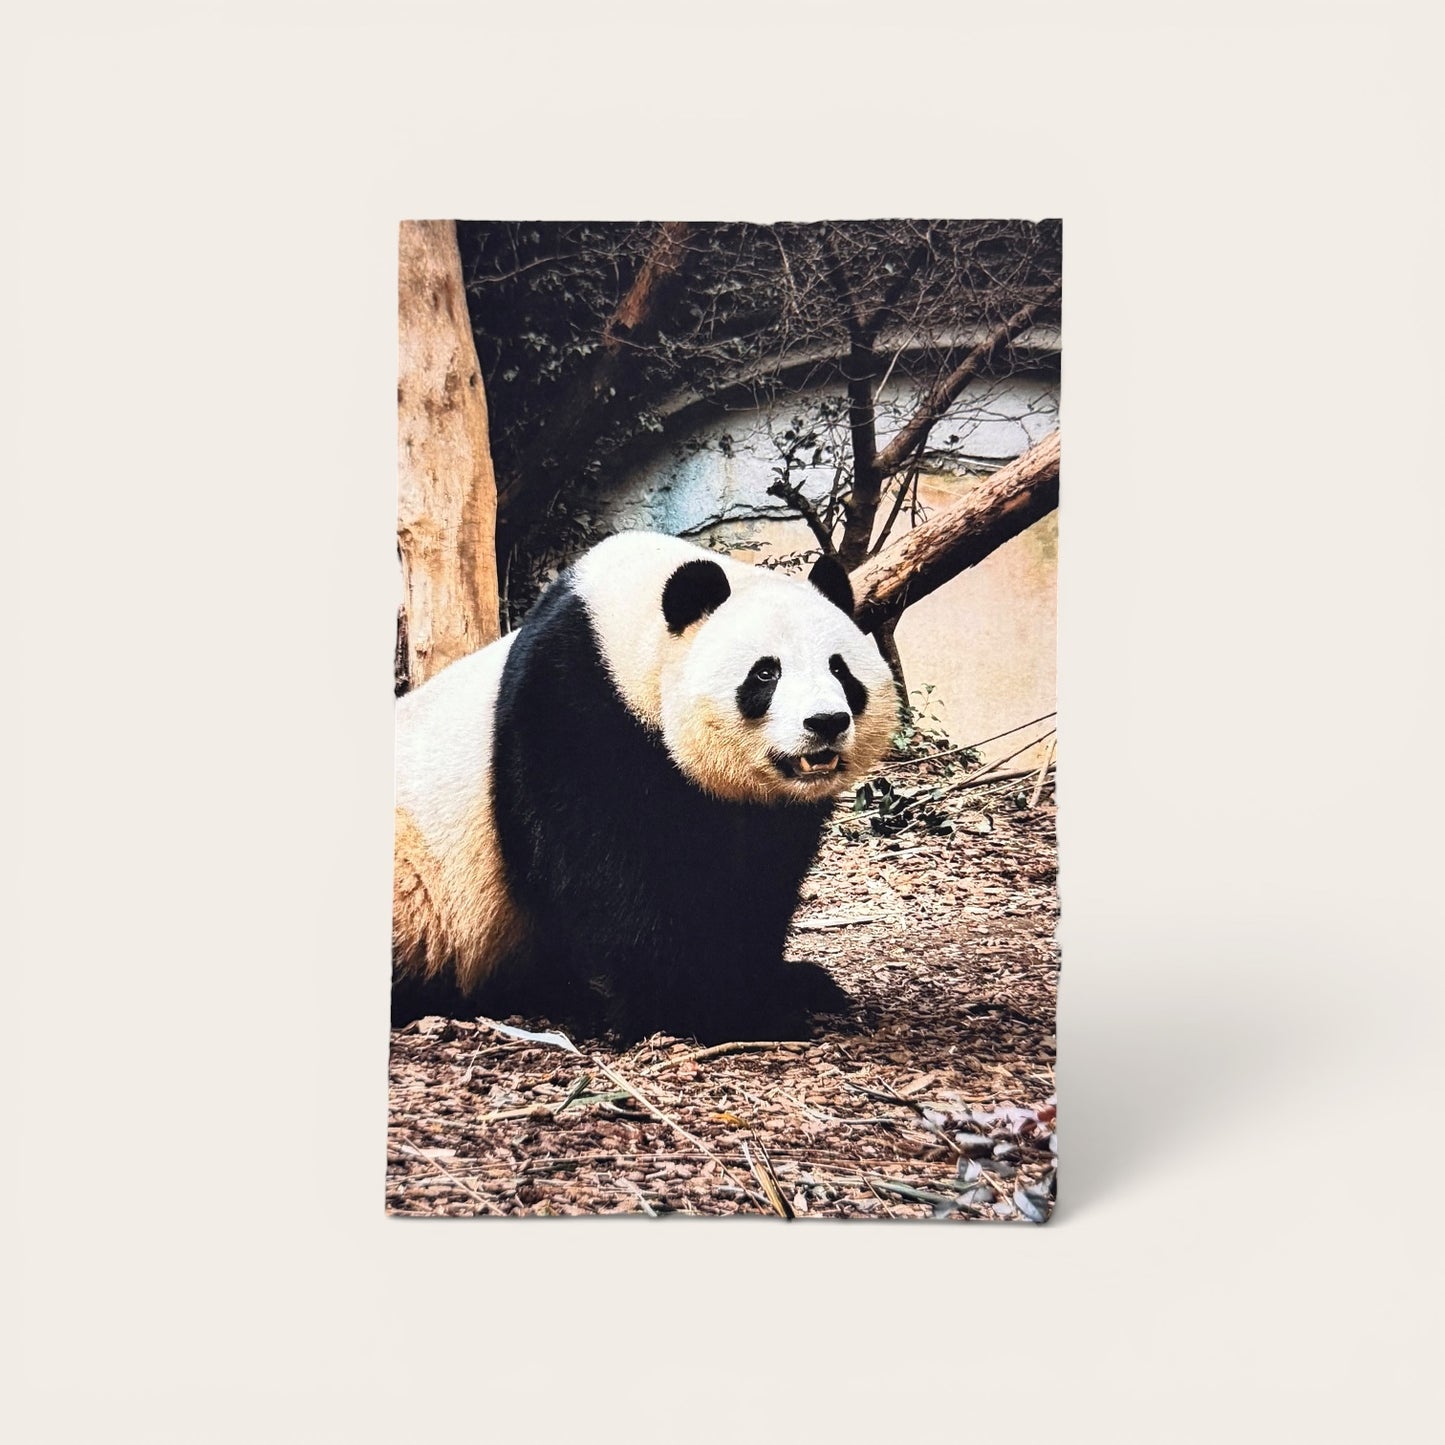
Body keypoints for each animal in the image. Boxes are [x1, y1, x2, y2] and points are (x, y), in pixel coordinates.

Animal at [392, 531, 897, 1043]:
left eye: (840, 670)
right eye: (765, 673)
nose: (826, 722)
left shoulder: (764, 811)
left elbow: (756, 879)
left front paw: (781, 984)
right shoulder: (571, 709)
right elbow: (607, 873)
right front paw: (712, 1010)